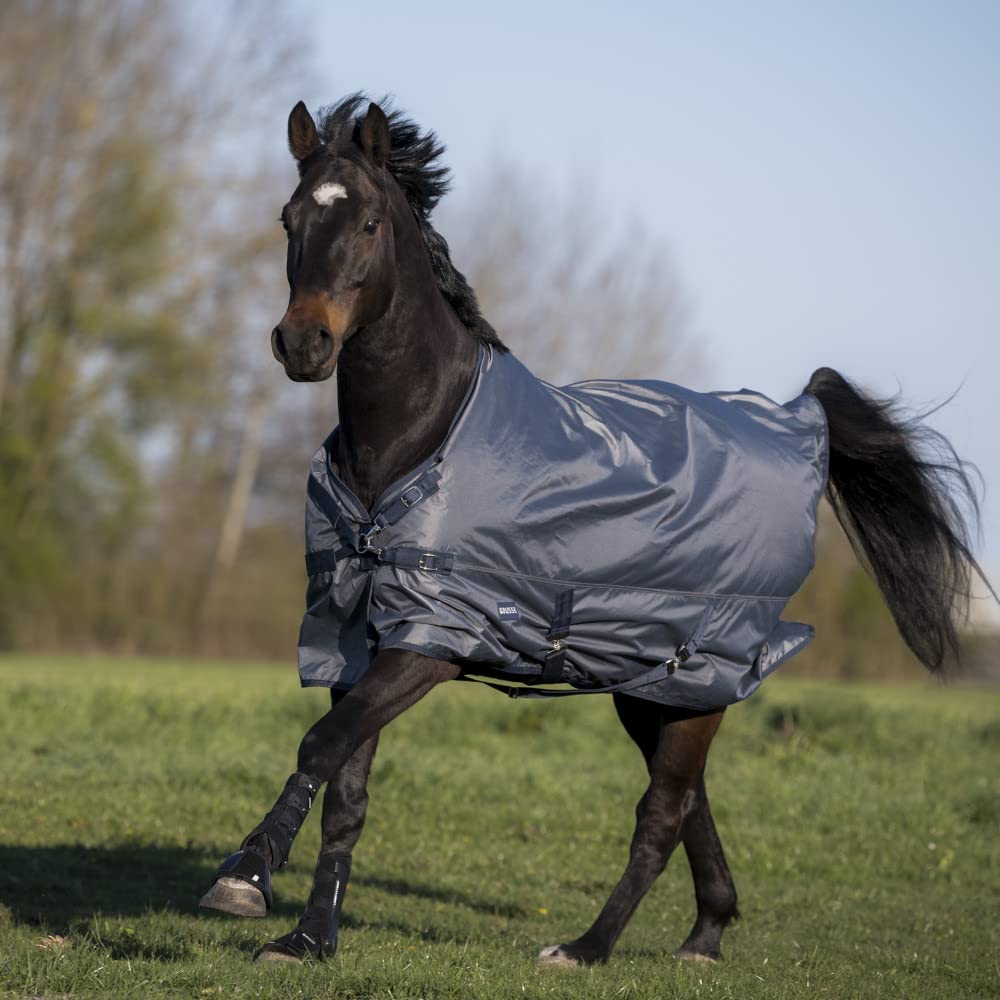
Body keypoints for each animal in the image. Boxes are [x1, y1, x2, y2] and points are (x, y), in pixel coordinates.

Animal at [198, 94, 987, 967]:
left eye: (369, 222)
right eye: (290, 217)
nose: (303, 343)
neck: (416, 440)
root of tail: (794, 417)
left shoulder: (431, 640)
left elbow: (320, 745)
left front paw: (245, 876)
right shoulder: (353, 638)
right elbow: (347, 783)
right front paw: (308, 937)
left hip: (697, 672)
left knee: (663, 814)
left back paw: (586, 948)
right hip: (655, 688)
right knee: (691, 804)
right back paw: (705, 935)